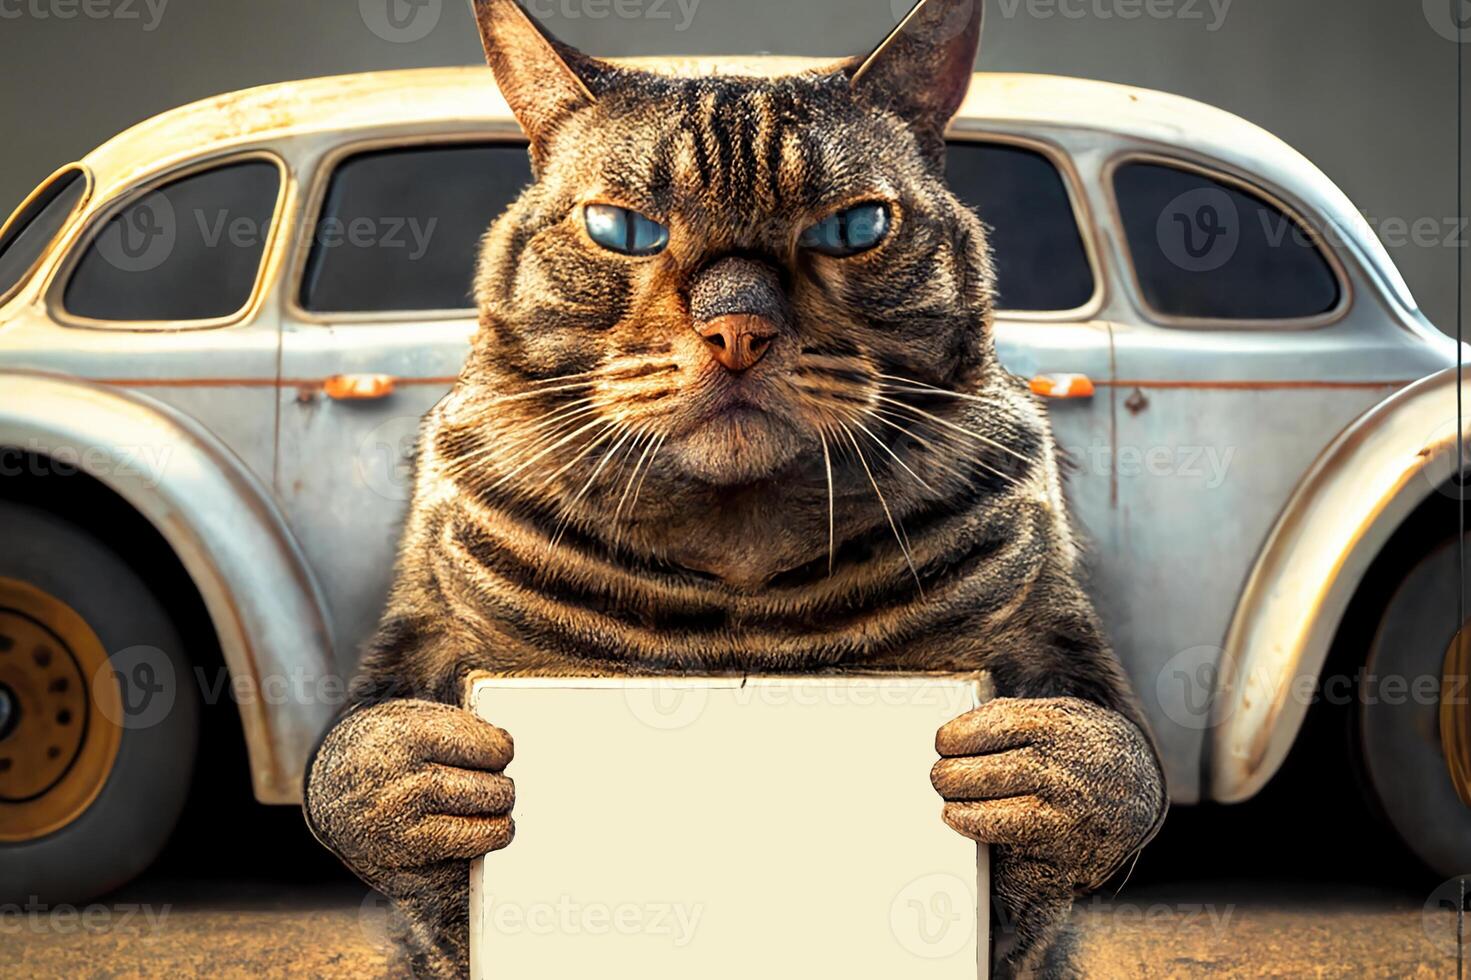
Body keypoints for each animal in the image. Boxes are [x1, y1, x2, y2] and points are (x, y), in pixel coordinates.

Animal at [304, 0, 1165, 971]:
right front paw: (412, 774)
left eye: (852, 229)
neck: (737, 552)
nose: (738, 329)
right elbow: (353, 754)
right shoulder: (426, 632)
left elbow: (1117, 757)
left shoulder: (1048, 633)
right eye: (622, 229)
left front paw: (1047, 767)